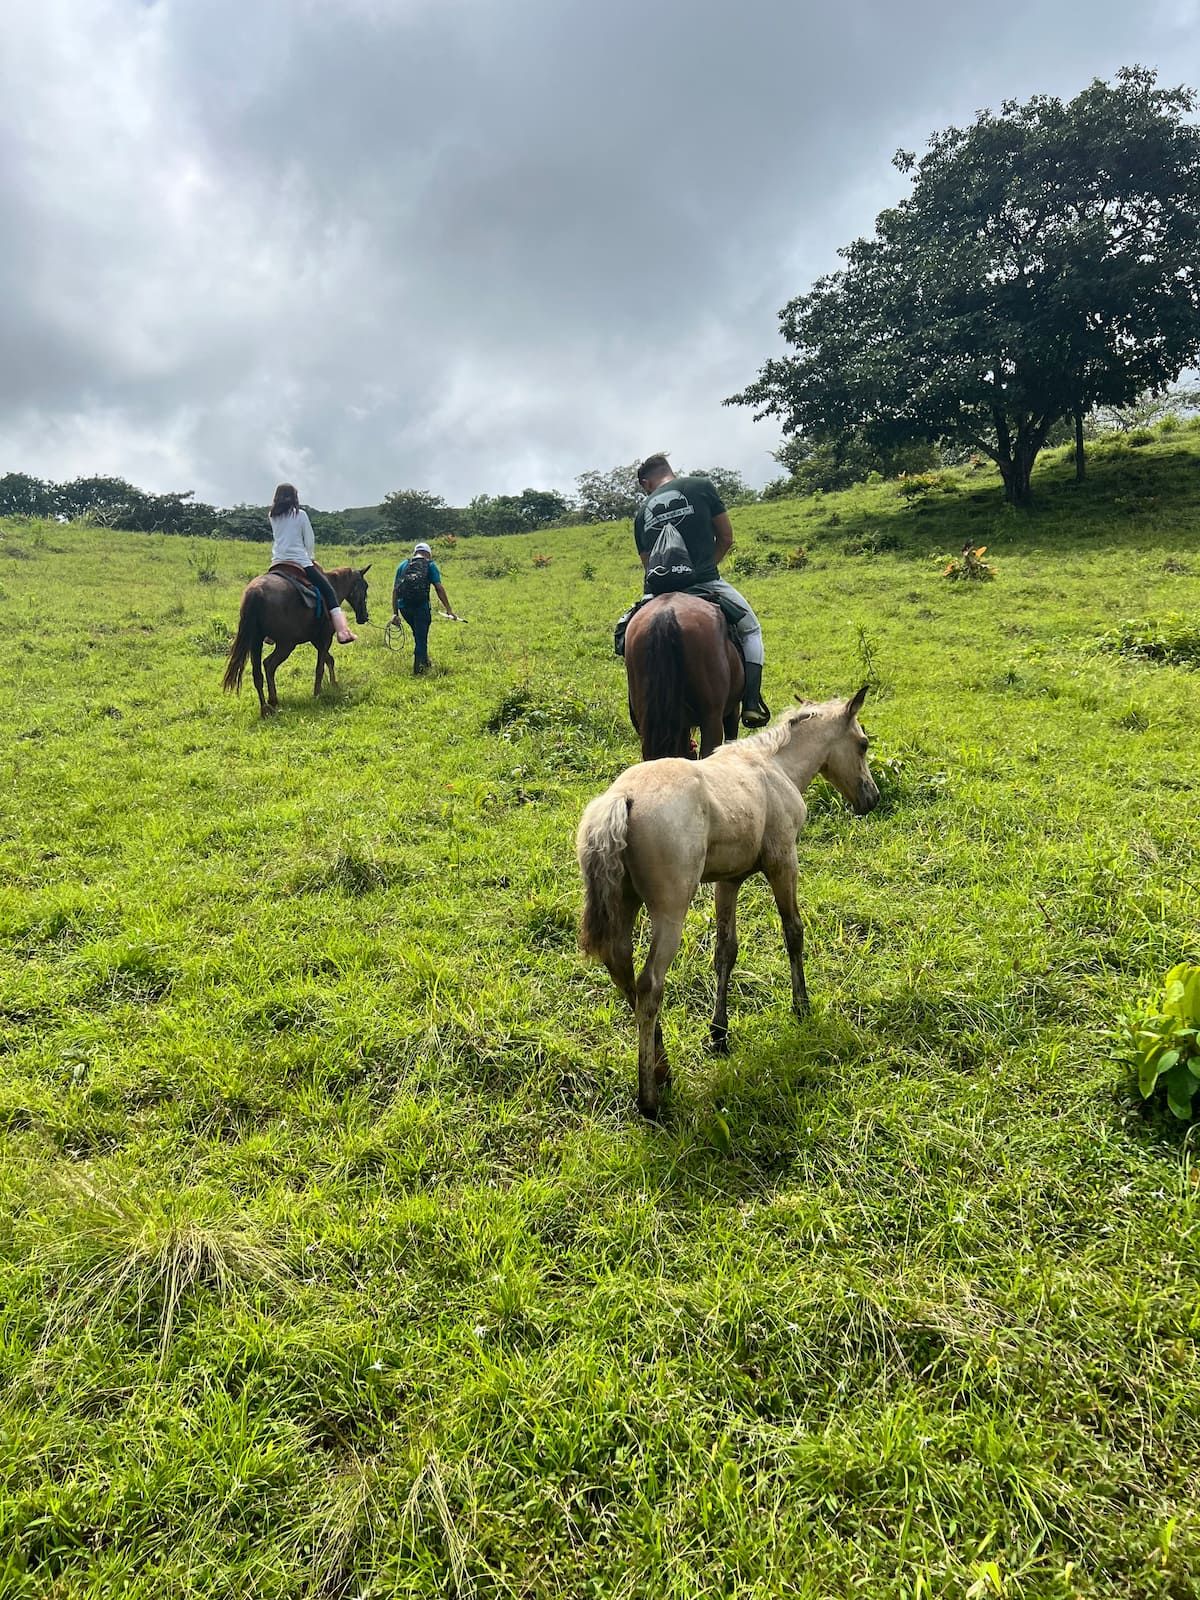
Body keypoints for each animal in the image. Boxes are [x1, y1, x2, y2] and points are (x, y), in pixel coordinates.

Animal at [223, 565, 371, 716]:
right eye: (365, 586)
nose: (364, 616)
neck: (333, 584)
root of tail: (256, 592)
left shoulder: (316, 640)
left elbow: (329, 659)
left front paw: (333, 684)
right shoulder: (325, 638)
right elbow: (320, 667)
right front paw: (317, 693)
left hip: (256, 641)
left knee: (258, 674)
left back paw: (265, 708)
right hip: (286, 644)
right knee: (269, 664)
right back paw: (273, 700)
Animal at [576, 688, 879, 1119]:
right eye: (863, 744)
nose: (872, 798)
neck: (775, 766)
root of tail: (622, 798)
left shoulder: (728, 881)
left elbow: (725, 951)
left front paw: (719, 1033)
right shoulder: (783, 861)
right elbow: (793, 931)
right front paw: (801, 1006)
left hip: (623, 905)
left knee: (623, 975)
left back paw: (663, 1067)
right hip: (670, 912)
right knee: (649, 985)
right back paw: (649, 1098)